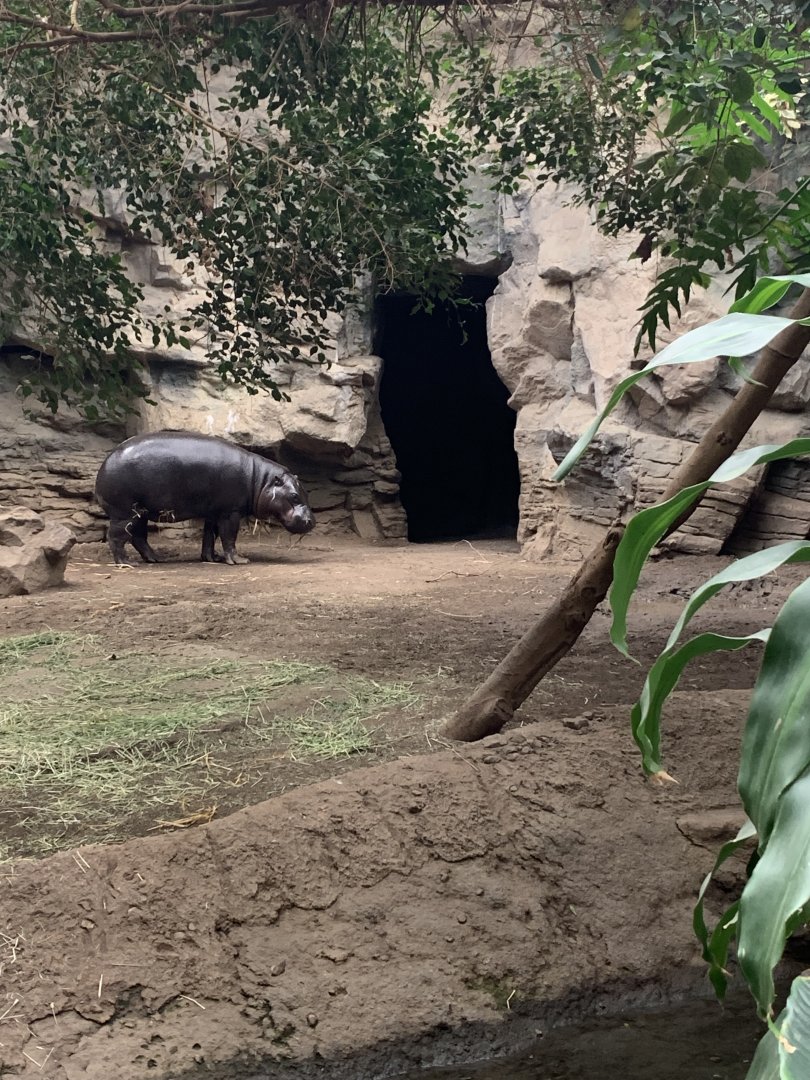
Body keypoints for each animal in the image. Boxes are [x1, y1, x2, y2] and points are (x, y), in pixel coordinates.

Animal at [95, 431, 315, 565]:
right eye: (294, 496)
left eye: (305, 493)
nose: (312, 521)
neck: (260, 480)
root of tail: (105, 463)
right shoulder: (230, 512)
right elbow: (229, 536)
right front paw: (239, 560)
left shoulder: (214, 512)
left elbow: (210, 535)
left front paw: (212, 558)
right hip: (125, 512)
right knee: (116, 537)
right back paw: (127, 563)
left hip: (141, 512)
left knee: (138, 537)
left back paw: (156, 559)